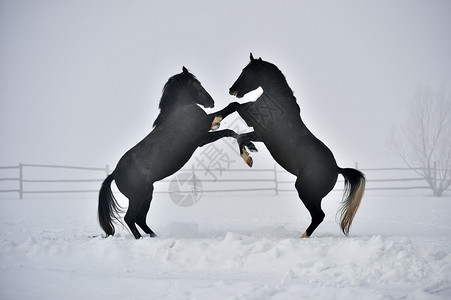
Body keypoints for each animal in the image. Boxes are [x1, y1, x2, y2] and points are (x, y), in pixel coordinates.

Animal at [99, 66, 254, 239]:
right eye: (196, 83)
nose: (211, 102)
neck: (181, 111)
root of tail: (114, 174)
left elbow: (229, 114)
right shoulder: (202, 137)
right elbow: (229, 126)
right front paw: (248, 151)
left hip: (147, 194)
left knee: (140, 218)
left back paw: (155, 236)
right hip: (138, 196)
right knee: (130, 218)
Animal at [216, 54, 368, 237]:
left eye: (246, 71)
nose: (231, 90)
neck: (276, 102)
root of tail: (337, 169)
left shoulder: (253, 121)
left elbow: (234, 109)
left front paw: (218, 123)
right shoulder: (260, 134)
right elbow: (241, 135)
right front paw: (250, 150)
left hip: (305, 192)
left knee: (319, 215)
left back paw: (302, 237)